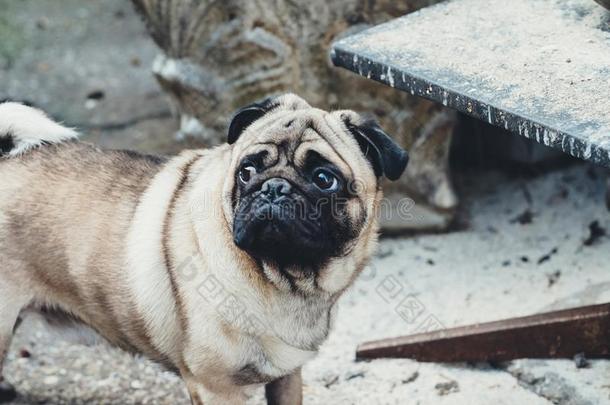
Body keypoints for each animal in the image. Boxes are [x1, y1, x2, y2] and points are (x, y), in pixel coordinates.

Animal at [1, 94, 408, 404]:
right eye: (246, 172)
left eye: (324, 179)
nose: (274, 187)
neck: (286, 280)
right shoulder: (216, 387)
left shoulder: (288, 377)